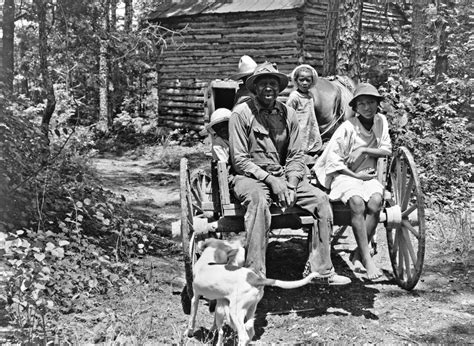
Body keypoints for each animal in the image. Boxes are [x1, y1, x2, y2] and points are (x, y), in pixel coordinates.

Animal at [185, 239, 318, 344]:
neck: (208, 261)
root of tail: (255, 278)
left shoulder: (195, 297)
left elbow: (192, 317)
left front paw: (189, 332)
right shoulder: (219, 301)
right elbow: (216, 322)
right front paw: (213, 330)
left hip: (235, 312)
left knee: (243, 336)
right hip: (250, 308)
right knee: (250, 331)